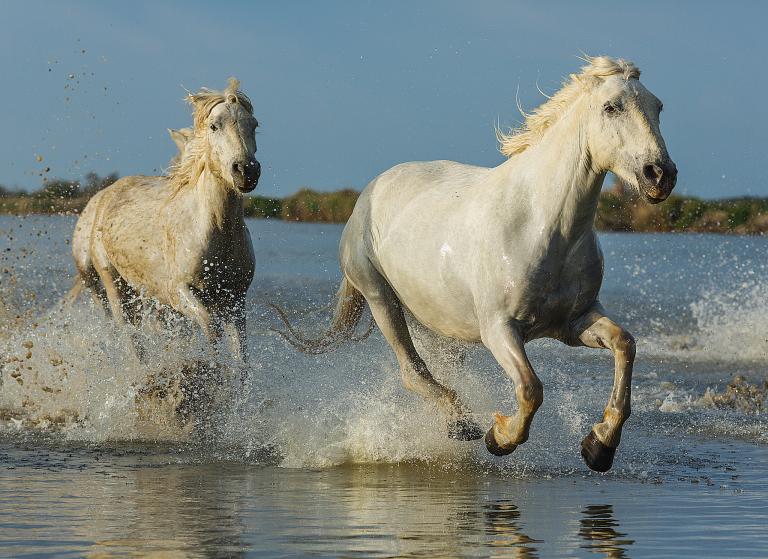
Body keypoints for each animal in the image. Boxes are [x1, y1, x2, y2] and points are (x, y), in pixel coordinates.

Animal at [71, 77, 260, 364]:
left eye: (254, 125)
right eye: (214, 126)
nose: (246, 171)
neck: (217, 230)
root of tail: (106, 194)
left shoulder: (235, 300)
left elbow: (241, 358)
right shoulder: (178, 293)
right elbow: (210, 331)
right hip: (114, 286)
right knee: (130, 338)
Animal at [276, 57, 680, 470]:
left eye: (658, 107)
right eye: (611, 107)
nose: (660, 175)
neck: (544, 225)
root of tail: (370, 192)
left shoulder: (574, 322)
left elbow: (624, 345)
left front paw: (599, 446)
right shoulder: (499, 328)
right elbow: (531, 389)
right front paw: (499, 437)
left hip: (435, 322)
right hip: (379, 297)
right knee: (413, 371)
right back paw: (462, 425)